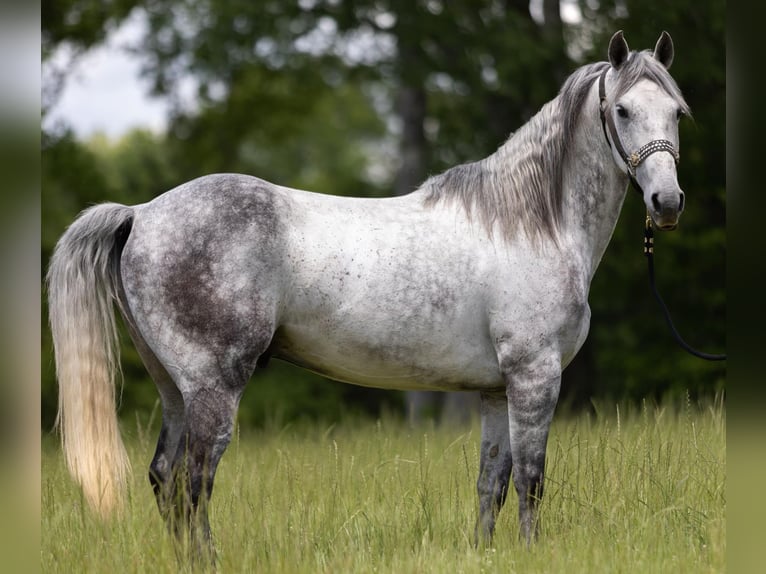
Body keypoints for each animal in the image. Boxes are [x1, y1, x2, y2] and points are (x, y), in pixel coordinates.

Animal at [46, 30, 688, 560]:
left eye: (677, 111)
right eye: (623, 109)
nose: (668, 203)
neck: (531, 224)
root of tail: (141, 213)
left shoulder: (494, 390)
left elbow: (492, 484)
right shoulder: (535, 377)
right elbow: (531, 480)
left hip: (173, 388)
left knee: (165, 478)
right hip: (211, 388)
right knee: (194, 480)